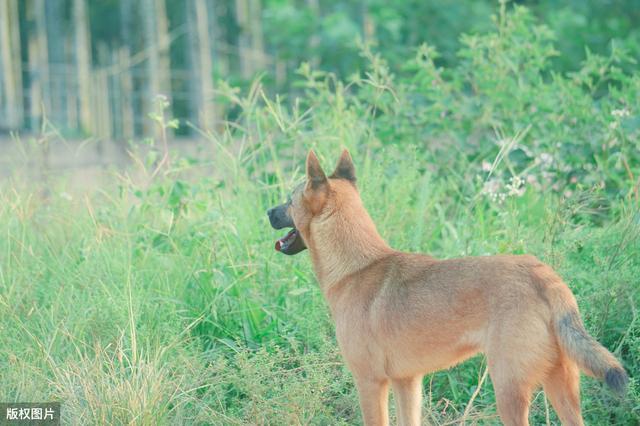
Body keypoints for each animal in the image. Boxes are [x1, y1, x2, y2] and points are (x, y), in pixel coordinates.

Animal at [268, 148, 628, 424]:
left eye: (288, 200)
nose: (268, 211)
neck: (356, 266)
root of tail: (543, 276)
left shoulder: (370, 383)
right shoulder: (406, 382)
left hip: (508, 390)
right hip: (561, 386)